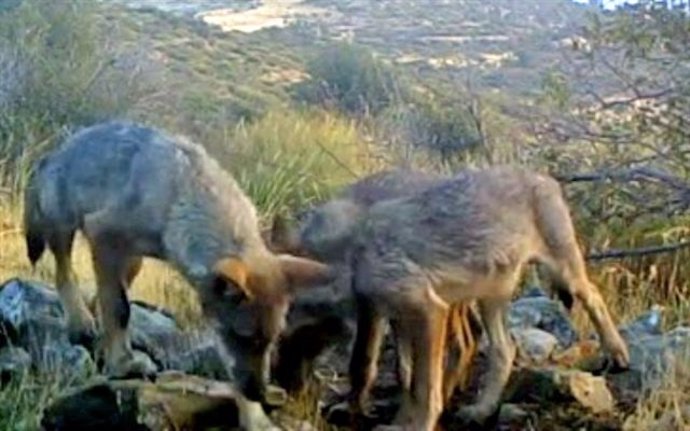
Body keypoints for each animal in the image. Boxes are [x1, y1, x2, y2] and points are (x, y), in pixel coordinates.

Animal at [23, 120, 330, 431]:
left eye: (271, 341)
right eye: (243, 337)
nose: (259, 393)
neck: (179, 199)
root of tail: (55, 152)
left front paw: (255, 419)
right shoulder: (103, 236)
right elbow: (120, 310)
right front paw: (123, 364)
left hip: (132, 261)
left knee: (99, 294)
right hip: (66, 229)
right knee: (64, 274)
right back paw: (79, 321)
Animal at [266, 168, 482, 408]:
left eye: (285, 335)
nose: (282, 384)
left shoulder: (371, 310)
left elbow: (361, 365)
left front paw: (355, 409)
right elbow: (401, 366)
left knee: (464, 344)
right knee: (471, 336)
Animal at [344, 166, 628, 431]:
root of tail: (544, 177)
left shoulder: (415, 310)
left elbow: (409, 380)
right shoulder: (389, 313)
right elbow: (396, 371)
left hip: (564, 274)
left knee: (594, 296)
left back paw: (617, 353)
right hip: (490, 297)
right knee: (503, 349)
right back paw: (481, 410)